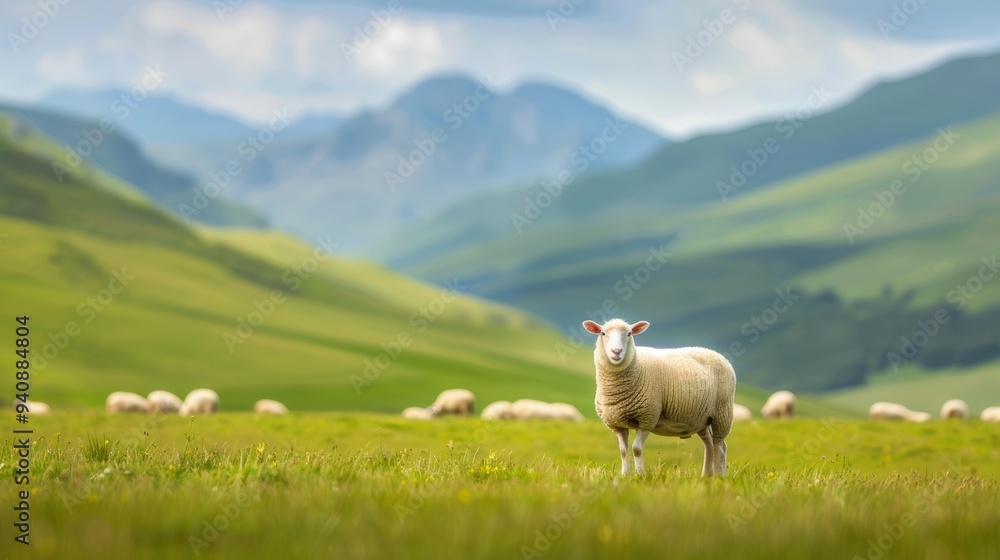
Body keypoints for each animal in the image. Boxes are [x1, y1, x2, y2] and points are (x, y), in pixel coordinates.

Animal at [584, 318, 736, 477]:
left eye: (629, 334)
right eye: (603, 333)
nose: (616, 351)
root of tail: (719, 355)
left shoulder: (648, 418)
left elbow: (636, 449)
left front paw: (640, 475)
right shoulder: (617, 425)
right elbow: (623, 451)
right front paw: (625, 475)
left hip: (722, 412)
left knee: (720, 445)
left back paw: (719, 475)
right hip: (701, 418)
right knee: (709, 444)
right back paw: (706, 476)